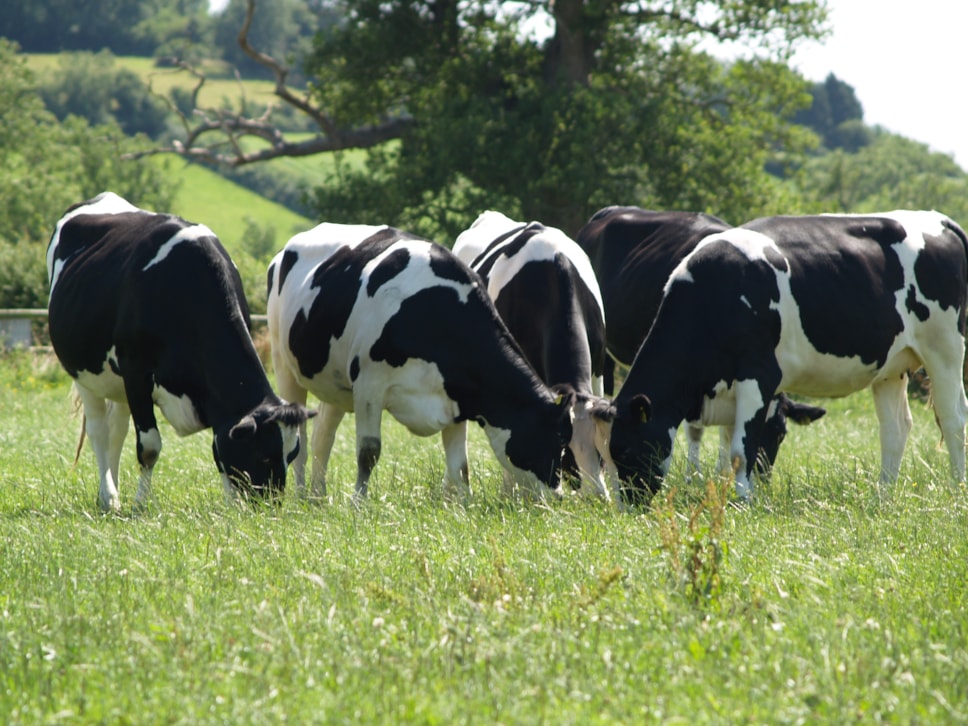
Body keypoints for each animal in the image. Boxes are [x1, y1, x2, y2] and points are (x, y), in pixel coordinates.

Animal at [47, 192, 312, 512]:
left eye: (292, 454)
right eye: (263, 455)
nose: (271, 506)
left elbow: (219, 447)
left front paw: (231, 504)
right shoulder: (136, 370)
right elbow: (149, 447)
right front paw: (141, 504)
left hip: (117, 384)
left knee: (116, 432)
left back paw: (113, 493)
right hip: (85, 373)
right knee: (99, 431)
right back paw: (109, 497)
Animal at [266, 223, 576, 506]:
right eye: (559, 440)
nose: (558, 497)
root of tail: (287, 247)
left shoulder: (456, 399)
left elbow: (459, 465)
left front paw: (464, 507)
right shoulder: (369, 383)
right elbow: (369, 452)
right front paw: (358, 505)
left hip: (337, 384)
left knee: (323, 436)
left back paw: (318, 497)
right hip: (284, 363)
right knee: (302, 438)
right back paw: (303, 495)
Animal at [576, 205, 824, 478]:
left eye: (780, 434)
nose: (761, 478)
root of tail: (611, 210)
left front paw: (722, 473)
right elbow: (696, 429)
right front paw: (693, 475)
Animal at [604, 210, 968, 506]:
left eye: (624, 449)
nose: (629, 506)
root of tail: (939, 219)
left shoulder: (758, 375)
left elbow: (739, 451)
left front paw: (743, 502)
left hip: (945, 348)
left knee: (953, 418)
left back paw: (956, 489)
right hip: (892, 366)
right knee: (895, 428)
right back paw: (882, 496)